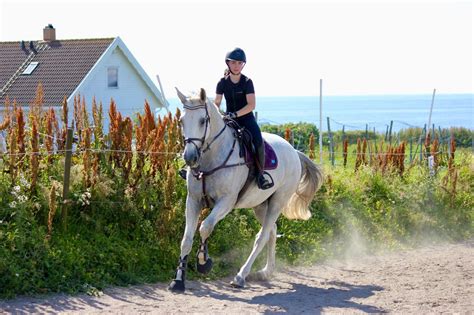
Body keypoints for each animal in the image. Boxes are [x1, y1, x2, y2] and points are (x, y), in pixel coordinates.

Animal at [168, 87, 324, 294]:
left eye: (202, 120)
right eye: (181, 121)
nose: (190, 157)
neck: (211, 158)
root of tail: (294, 151)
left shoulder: (226, 202)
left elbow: (205, 227)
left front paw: (203, 262)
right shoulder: (193, 200)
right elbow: (186, 239)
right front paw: (178, 281)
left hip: (278, 201)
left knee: (262, 236)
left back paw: (241, 276)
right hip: (260, 205)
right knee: (272, 231)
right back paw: (266, 271)